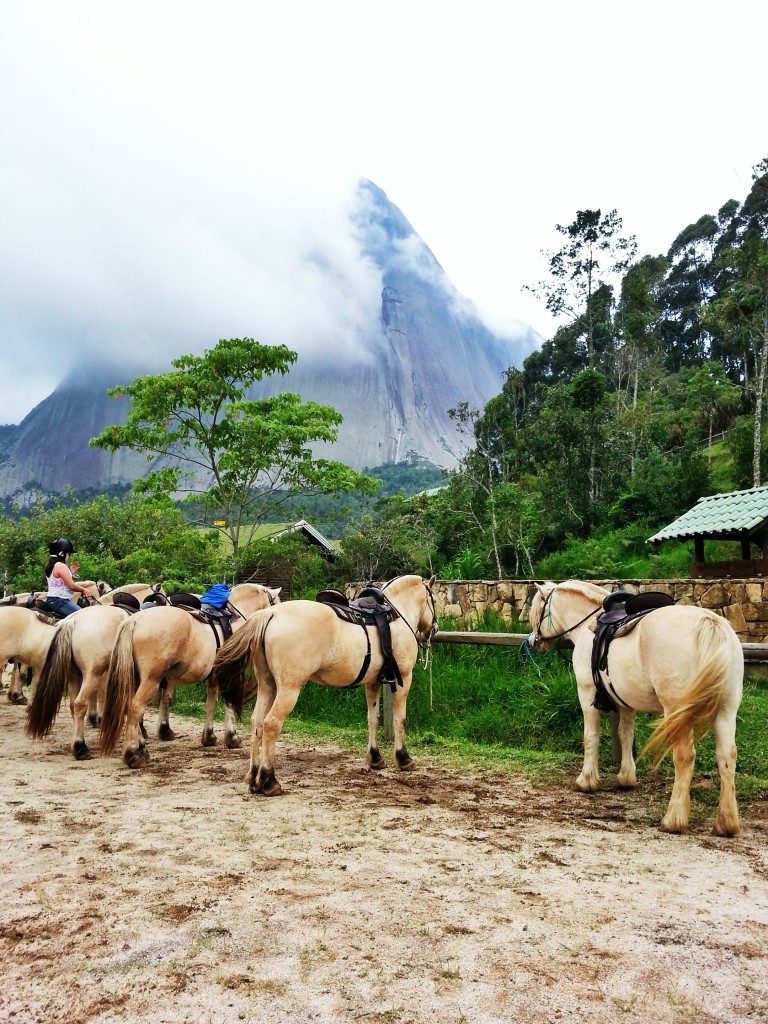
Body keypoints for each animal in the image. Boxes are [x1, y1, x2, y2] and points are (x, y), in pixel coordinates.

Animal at [25, 585, 167, 753]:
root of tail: (73, 621)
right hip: (91, 673)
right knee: (79, 703)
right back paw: (80, 747)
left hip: (75, 674)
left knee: (72, 704)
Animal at [99, 585, 282, 770]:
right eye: (276, 602)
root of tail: (134, 621)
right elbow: (228, 703)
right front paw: (232, 738)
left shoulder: (213, 676)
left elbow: (211, 704)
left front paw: (209, 737)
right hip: (150, 680)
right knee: (135, 708)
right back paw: (133, 754)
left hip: (135, 679)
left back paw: (141, 748)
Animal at [208, 573, 438, 794]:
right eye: (433, 600)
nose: (433, 629)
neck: (395, 614)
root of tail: (270, 614)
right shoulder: (403, 679)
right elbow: (400, 719)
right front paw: (403, 758)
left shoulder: (372, 683)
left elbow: (373, 719)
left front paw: (375, 758)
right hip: (288, 690)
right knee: (271, 724)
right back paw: (269, 780)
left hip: (267, 686)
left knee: (257, 723)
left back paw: (254, 778)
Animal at [528, 581, 745, 835]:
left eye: (538, 610)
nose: (533, 641)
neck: (587, 626)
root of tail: (709, 622)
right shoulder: (626, 703)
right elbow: (625, 735)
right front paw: (626, 777)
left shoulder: (587, 693)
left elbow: (590, 736)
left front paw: (587, 780)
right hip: (726, 711)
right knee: (727, 757)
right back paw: (726, 823)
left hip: (676, 712)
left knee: (684, 757)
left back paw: (673, 819)